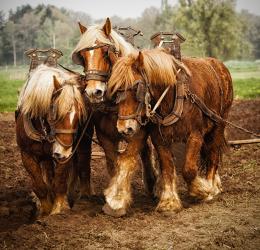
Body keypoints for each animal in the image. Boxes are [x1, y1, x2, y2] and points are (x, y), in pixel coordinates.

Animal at [16, 64, 87, 215]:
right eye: (55, 112)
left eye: (79, 116)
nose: (63, 151)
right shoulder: (26, 155)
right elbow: (39, 184)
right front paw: (45, 210)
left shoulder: (64, 155)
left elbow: (60, 181)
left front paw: (58, 209)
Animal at [70, 18, 156, 217]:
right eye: (83, 56)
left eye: (105, 52)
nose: (93, 92)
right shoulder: (105, 136)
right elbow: (113, 163)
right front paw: (112, 196)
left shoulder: (137, 132)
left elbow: (127, 160)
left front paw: (117, 203)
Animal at [107, 47, 234, 214]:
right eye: (116, 90)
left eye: (136, 88)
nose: (124, 128)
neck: (172, 96)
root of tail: (219, 65)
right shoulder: (160, 139)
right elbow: (167, 168)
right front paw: (169, 202)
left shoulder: (195, 135)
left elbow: (188, 169)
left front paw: (201, 191)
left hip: (219, 125)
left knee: (213, 155)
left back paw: (211, 187)